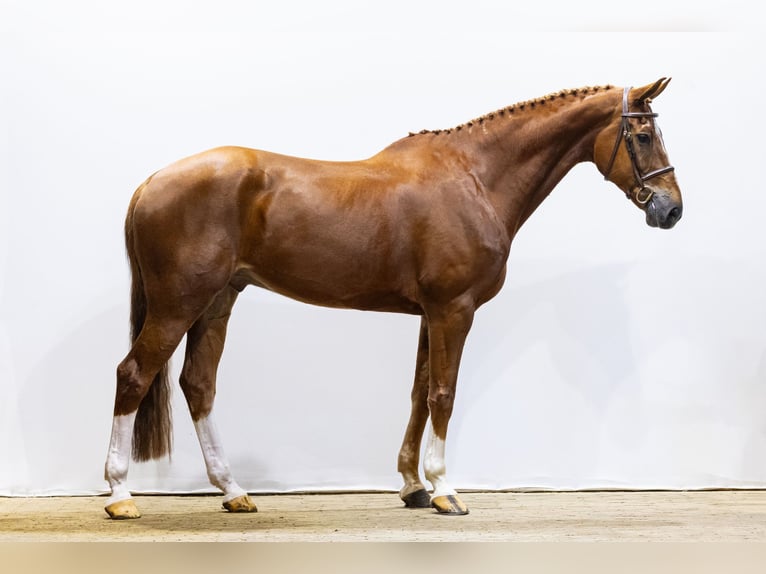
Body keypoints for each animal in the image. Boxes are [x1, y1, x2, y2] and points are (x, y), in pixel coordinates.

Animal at [104, 78, 682, 519]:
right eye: (643, 134)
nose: (671, 209)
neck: (474, 177)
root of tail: (151, 182)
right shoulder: (454, 310)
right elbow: (443, 394)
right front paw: (446, 491)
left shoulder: (431, 313)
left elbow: (419, 392)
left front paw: (413, 486)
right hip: (179, 303)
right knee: (134, 374)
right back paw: (120, 494)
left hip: (217, 302)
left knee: (198, 384)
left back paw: (233, 491)